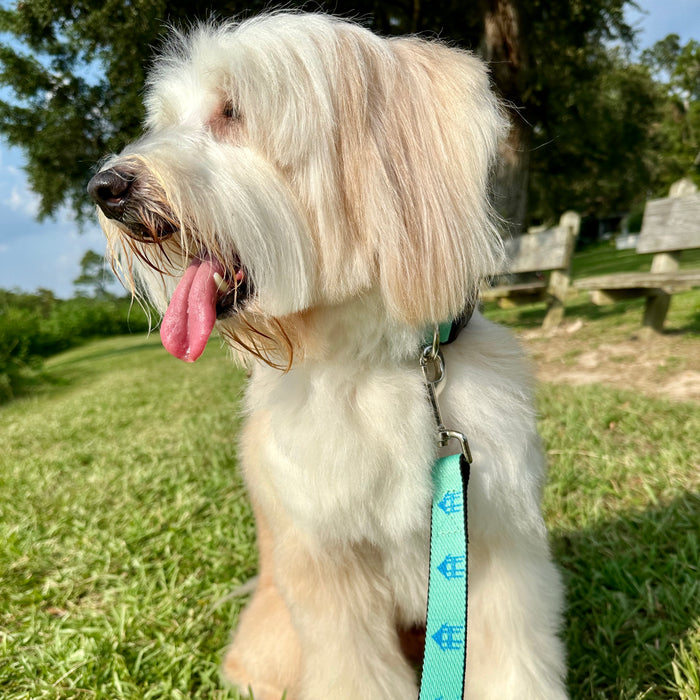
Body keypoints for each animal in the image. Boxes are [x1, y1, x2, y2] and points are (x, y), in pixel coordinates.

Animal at [87, 12, 568, 700]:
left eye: (232, 110)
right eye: (165, 120)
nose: (104, 188)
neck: (369, 360)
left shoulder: (500, 544)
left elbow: (513, 660)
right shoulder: (327, 567)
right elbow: (353, 666)